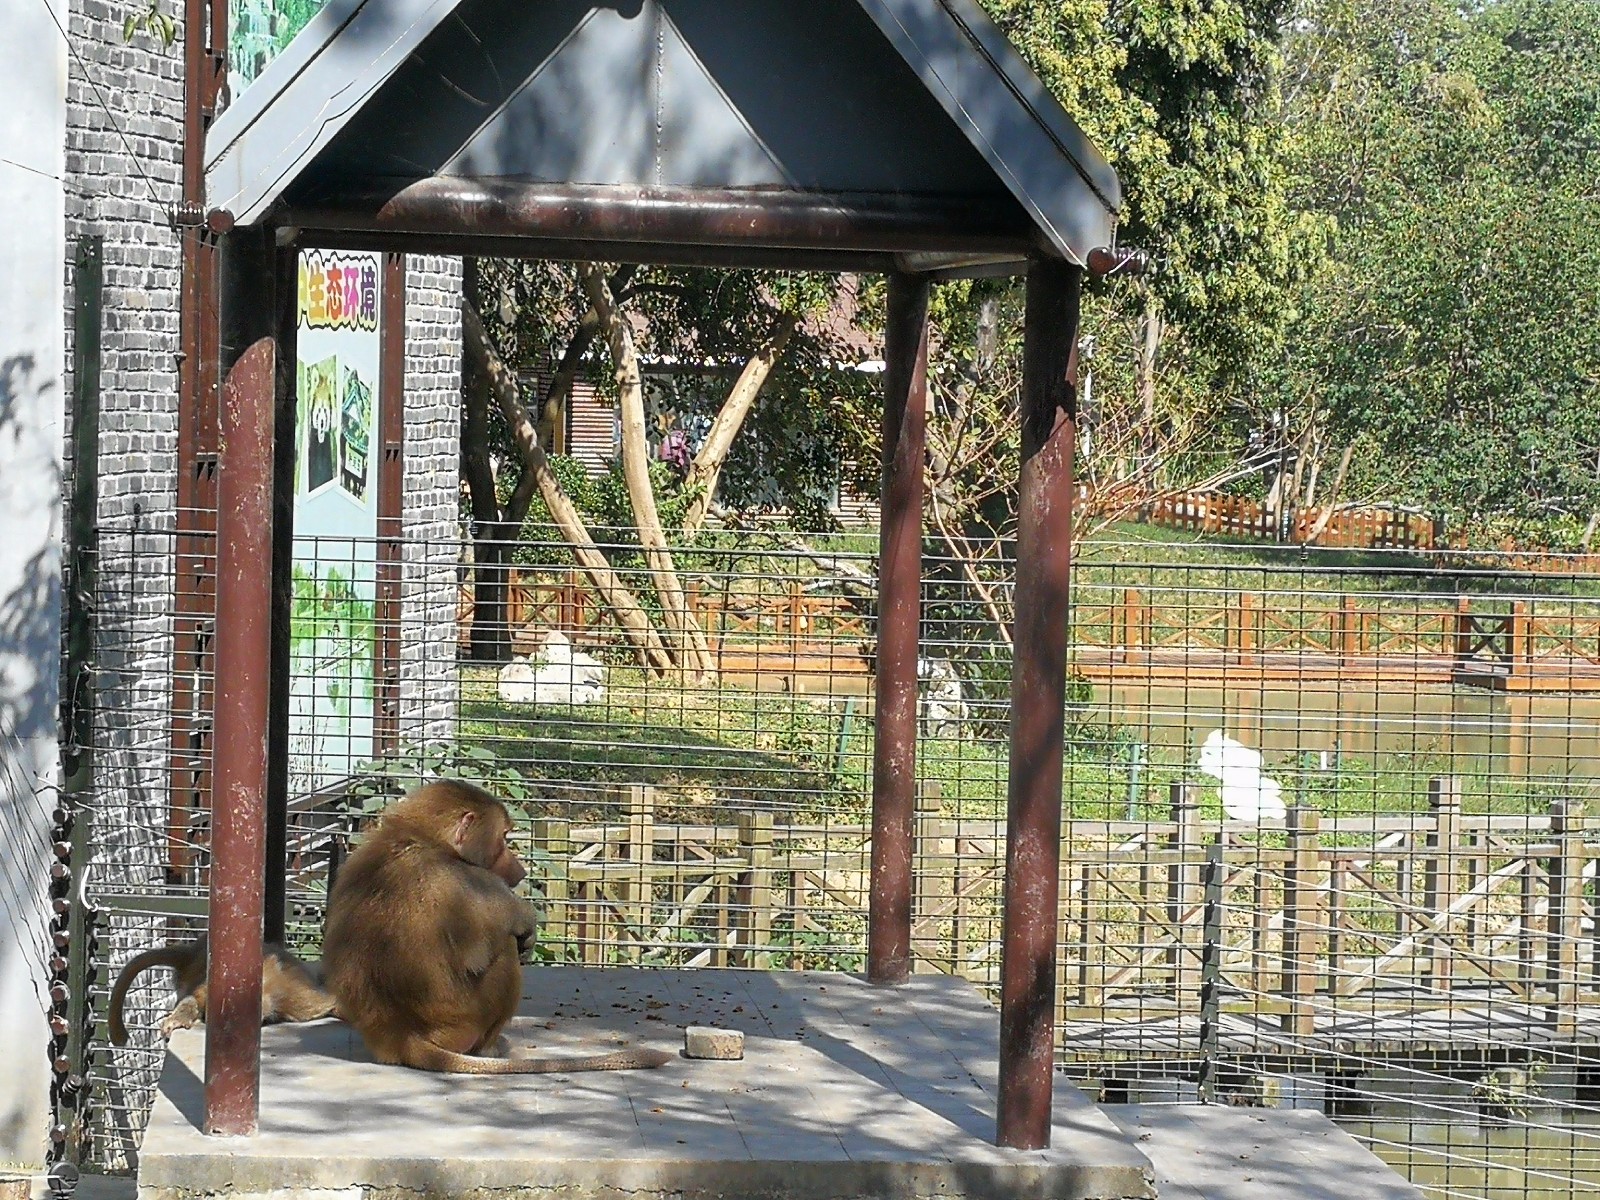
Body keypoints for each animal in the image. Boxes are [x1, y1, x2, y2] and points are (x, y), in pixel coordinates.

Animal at [321, 784, 672, 1075]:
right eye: (504, 838)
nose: (520, 869)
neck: (422, 840)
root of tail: (399, 1037)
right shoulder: (473, 880)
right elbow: (502, 932)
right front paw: (527, 924)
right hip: (461, 1026)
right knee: (504, 950)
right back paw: (491, 1046)